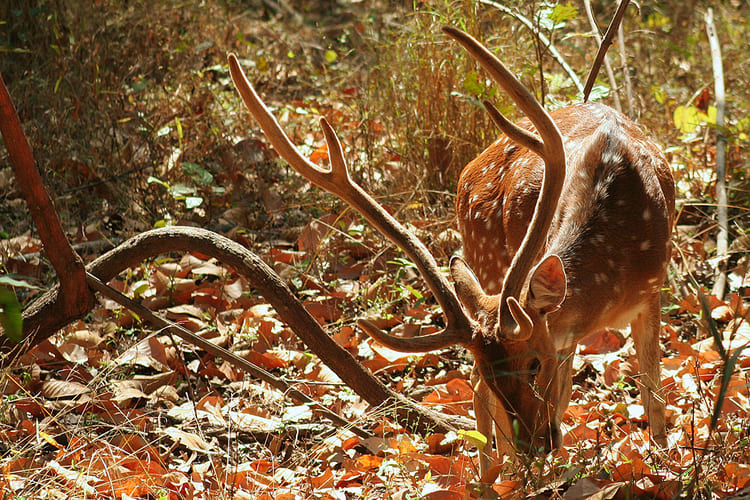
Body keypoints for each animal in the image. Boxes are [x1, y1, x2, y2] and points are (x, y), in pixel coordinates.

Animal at [229, 26, 676, 472]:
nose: (534, 445)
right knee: (478, 392)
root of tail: (467, 173)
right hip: (486, 254)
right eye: (497, 374)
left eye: (533, 363)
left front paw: (662, 461)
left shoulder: (649, 293)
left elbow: (651, 391)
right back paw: (493, 474)